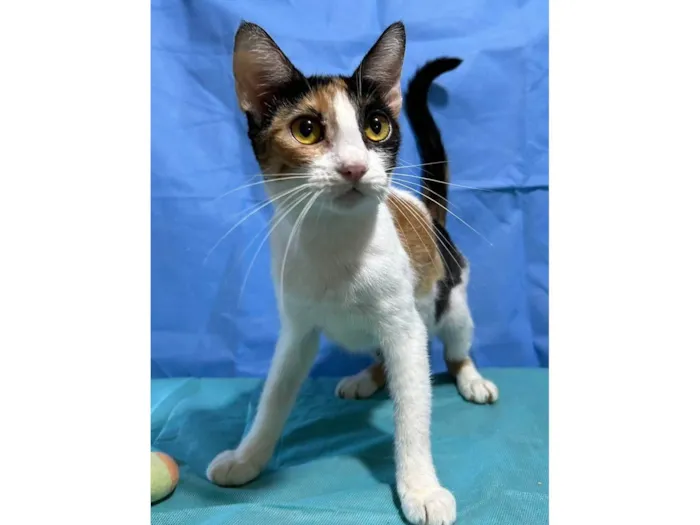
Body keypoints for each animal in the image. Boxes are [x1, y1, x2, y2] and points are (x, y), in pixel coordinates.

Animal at [207, 21, 498, 525]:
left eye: (375, 127)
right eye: (306, 130)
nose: (355, 167)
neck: (335, 243)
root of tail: (429, 213)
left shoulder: (405, 330)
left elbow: (412, 411)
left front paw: (420, 487)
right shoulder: (296, 331)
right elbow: (273, 397)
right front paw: (248, 457)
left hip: (451, 301)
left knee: (454, 346)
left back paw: (470, 378)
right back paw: (367, 376)